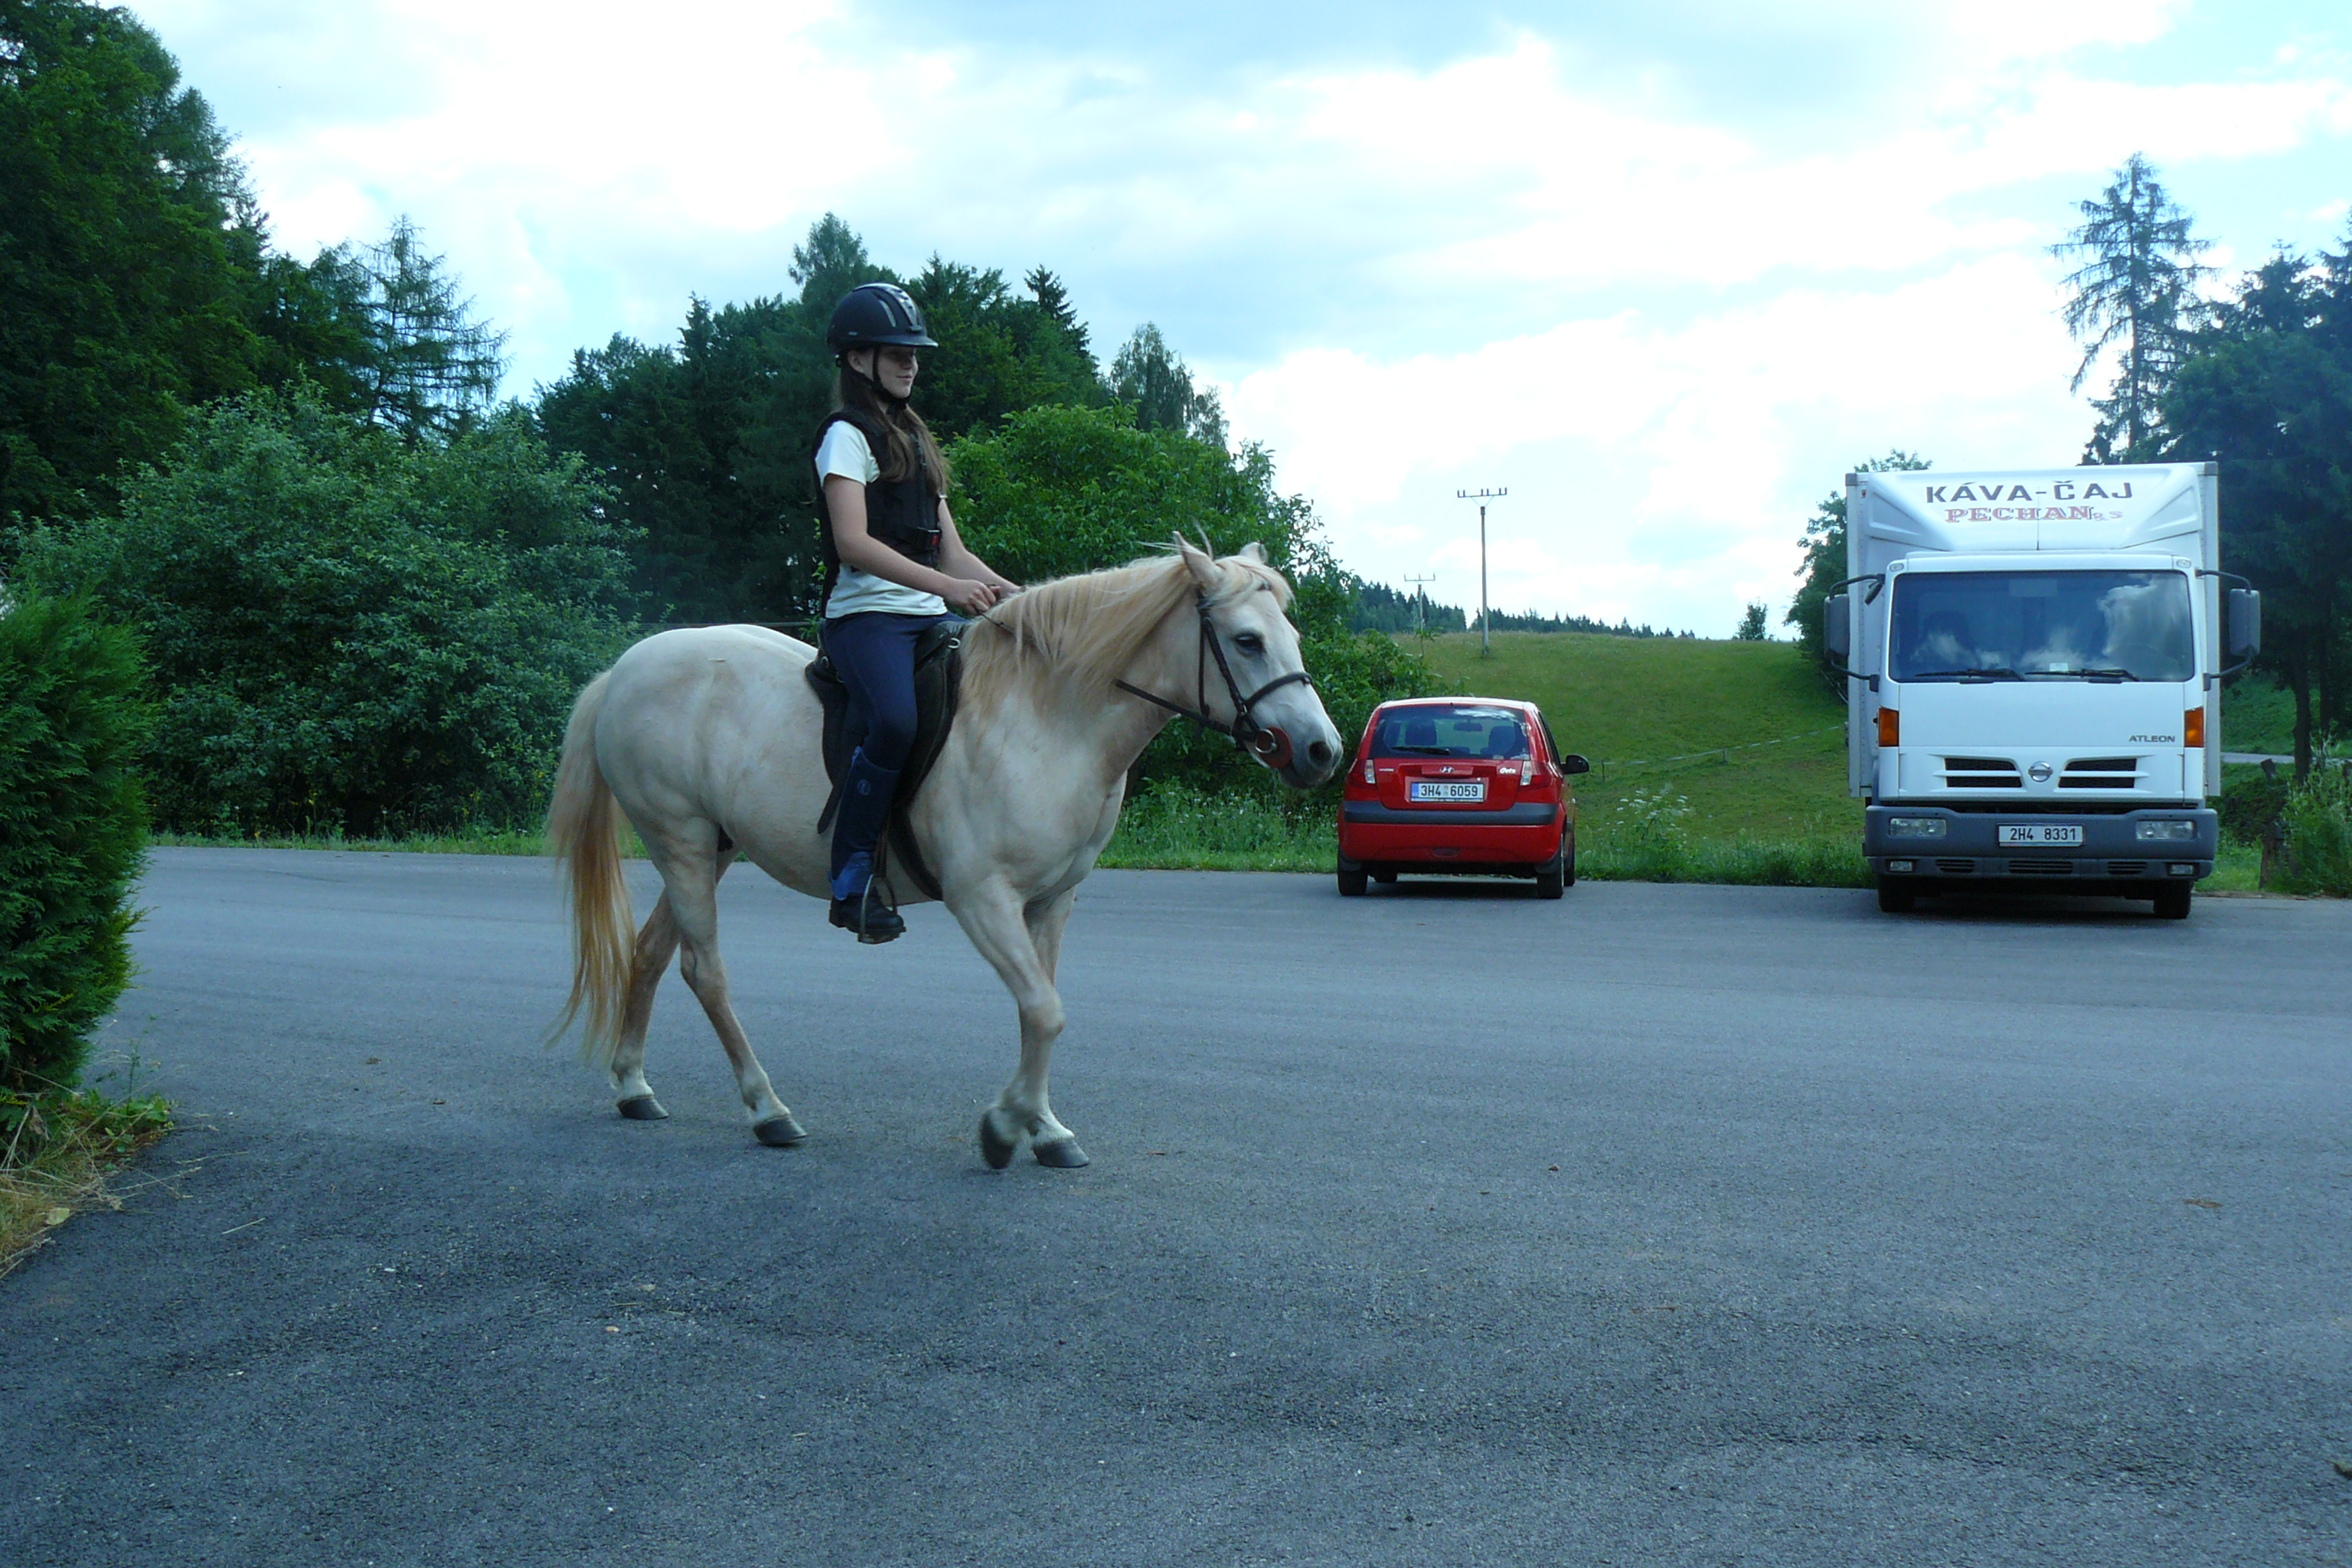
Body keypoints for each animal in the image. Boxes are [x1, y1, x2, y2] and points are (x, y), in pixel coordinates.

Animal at [538, 541, 1345, 1165]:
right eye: (1247, 641)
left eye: (1292, 635)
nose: (1321, 751)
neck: (1048, 719)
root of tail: (624, 671)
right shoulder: (982, 897)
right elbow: (1045, 1011)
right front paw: (1005, 1128)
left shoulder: (1051, 902)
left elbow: (1039, 1010)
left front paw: (1042, 1127)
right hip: (679, 839)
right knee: (704, 972)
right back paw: (767, 1110)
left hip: (708, 850)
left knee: (648, 954)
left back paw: (634, 1086)